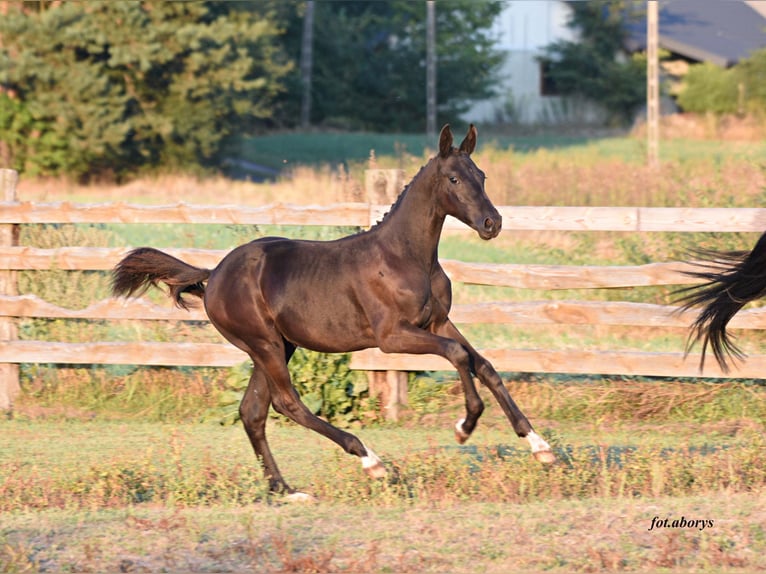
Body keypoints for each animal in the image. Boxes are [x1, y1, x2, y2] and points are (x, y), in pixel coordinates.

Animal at [112, 124, 555, 496]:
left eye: (482, 176)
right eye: (454, 179)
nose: (492, 223)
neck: (405, 256)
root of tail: (215, 273)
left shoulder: (438, 322)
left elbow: (485, 365)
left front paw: (540, 446)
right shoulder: (392, 337)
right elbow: (459, 355)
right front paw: (465, 426)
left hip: (278, 345)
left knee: (253, 411)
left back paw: (285, 491)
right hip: (264, 343)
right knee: (286, 404)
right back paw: (370, 460)